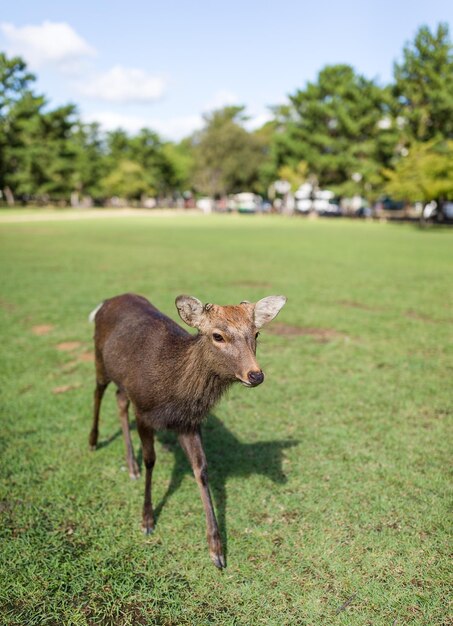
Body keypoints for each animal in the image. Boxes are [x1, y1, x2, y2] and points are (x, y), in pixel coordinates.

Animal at [88, 292, 286, 564]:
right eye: (217, 335)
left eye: (256, 333)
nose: (255, 375)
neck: (175, 394)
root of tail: (105, 301)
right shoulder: (143, 411)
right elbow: (151, 460)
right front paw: (147, 520)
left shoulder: (189, 423)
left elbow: (200, 469)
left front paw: (217, 550)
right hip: (99, 358)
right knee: (97, 392)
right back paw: (93, 441)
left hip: (122, 382)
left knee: (119, 400)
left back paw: (131, 466)